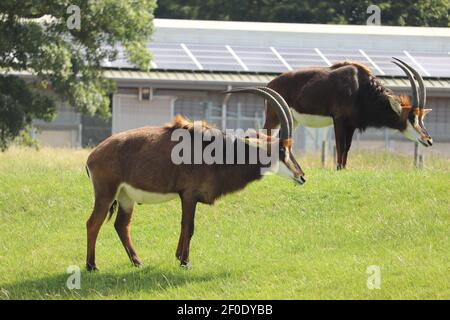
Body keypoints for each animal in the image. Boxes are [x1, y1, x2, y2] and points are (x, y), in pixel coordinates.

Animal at [85, 87, 304, 270]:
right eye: (282, 149)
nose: (301, 176)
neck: (219, 153)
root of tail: (93, 156)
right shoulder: (189, 195)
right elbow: (188, 227)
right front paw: (185, 262)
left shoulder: (187, 197)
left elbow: (184, 226)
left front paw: (178, 257)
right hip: (106, 194)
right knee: (93, 223)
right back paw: (92, 266)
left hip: (125, 198)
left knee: (121, 225)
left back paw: (137, 262)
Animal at [264, 57, 432, 170]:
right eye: (412, 117)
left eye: (422, 117)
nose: (428, 140)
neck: (360, 88)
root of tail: (270, 85)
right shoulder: (339, 120)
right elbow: (340, 145)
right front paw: (338, 169)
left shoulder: (351, 125)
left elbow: (348, 147)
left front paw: (344, 169)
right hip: (273, 118)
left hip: (293, 120)